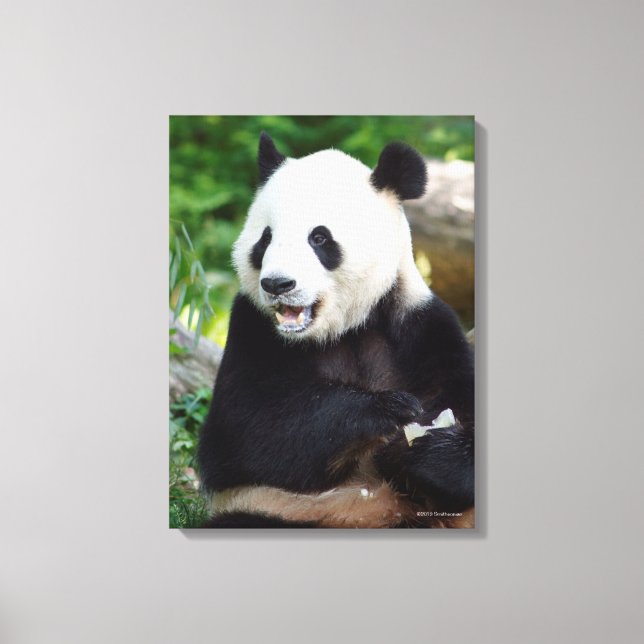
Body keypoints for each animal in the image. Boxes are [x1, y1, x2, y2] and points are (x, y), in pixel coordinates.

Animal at [197, 132, 474, 528]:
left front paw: (426, 454)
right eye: (266, 238)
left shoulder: (421, 325)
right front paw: (388, 408)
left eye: (319, 238)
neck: (344, 327)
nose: (277, 284)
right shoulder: (251, 329)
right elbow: (245, 434)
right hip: (278, 509)